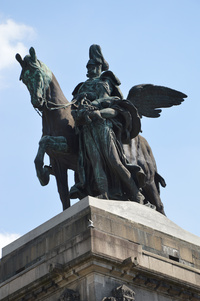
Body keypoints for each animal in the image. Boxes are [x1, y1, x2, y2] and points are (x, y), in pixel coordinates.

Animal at [15, 47, 166, 213]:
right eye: (24, 79)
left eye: (38, 74)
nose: (38, 101)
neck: (57, 115)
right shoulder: (58, 162)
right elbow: (63, 194)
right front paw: (43, 175)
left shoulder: (69, 145)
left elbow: (45, 140)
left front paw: (43, 175)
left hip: (148, 180)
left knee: (159, 205)